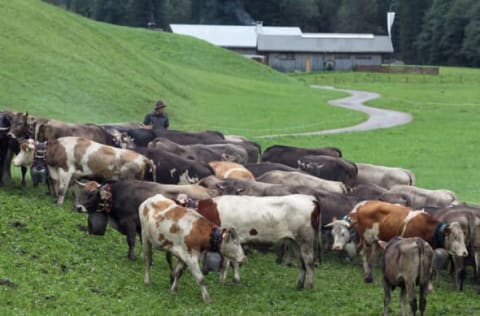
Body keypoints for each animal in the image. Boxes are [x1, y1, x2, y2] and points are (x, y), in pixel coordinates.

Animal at [13, 136, 156, 205]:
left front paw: (59, 203)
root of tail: (143, 157)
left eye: (25, 149)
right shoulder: (71, 175)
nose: (14, 162)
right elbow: (70, 189)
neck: (59, 148)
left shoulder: (66, 171)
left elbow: (62, 189)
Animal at [328, 201, 466, 282]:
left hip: (377, 240)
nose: (465, 253)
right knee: (364, 255)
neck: (427, 227)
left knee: (372, 257)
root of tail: (364, 205)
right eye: (454, 237)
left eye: (463, 237)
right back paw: (367, 274)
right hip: (367, 239)